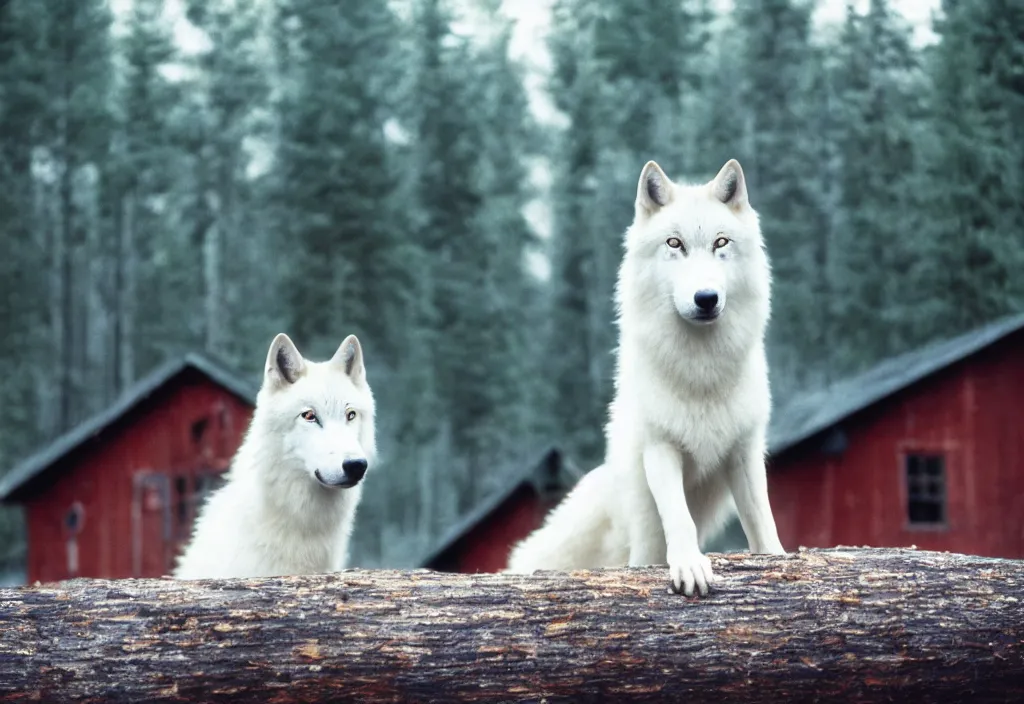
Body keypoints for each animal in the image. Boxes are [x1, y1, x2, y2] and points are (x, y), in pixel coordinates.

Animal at [507, 158, 786, 593]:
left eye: (721, 243)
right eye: (674, 244)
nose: (706, 298)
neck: (701, 372)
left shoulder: (744, 450)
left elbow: (762, 520)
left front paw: (782, 562)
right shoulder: (660, 448)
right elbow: (679, 518)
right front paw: (689, 566)